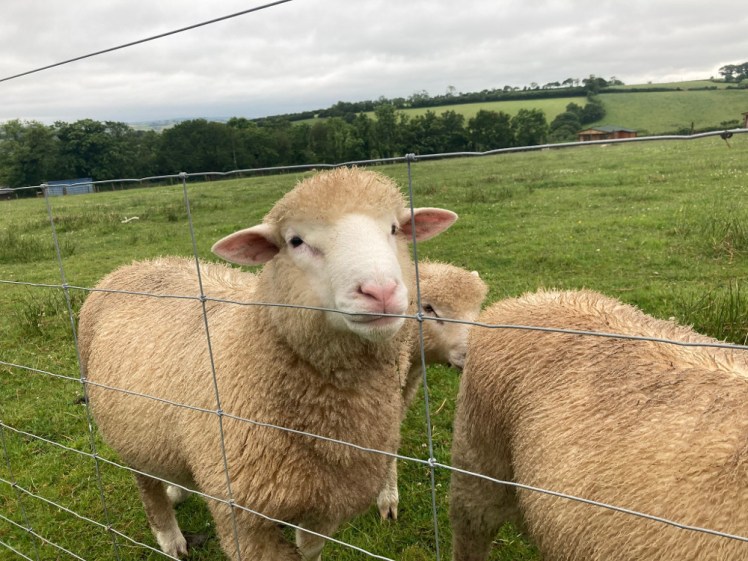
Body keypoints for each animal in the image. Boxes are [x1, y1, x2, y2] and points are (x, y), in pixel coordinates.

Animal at [77, 167, 457, 561]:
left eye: (395, 229)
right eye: (295, 241)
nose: (380, 291)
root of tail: (136, 265)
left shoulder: (326, 504)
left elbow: (309, 550)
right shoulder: (241, 514)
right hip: (126, 434)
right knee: (148, 489)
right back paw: (171, 540)